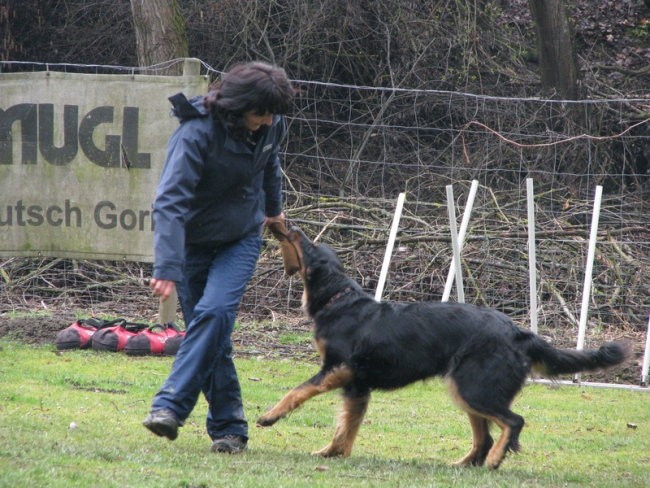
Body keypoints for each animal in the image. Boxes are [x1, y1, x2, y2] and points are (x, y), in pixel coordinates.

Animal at [256, 228, 628, 468]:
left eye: (305, 244)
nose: (288, 226)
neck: (340, 300)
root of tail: (518, 333)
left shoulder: (337, 368)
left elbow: (297, 391)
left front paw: (270, 416)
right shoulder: (357, 386)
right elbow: (346, 428)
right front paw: (333, 453)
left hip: (473, 387)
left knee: (513, 422)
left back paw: (493, 461)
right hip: (465, 389)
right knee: (485, 437)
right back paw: (463, 465)